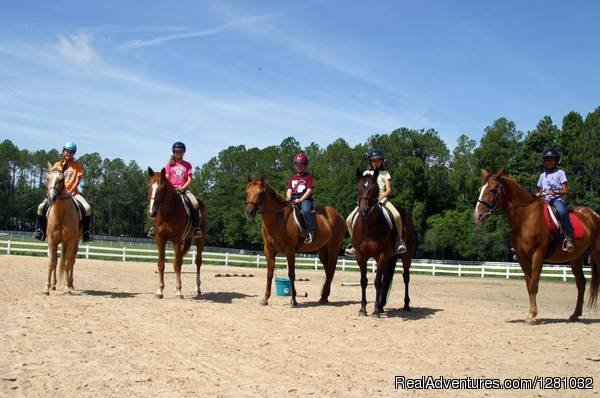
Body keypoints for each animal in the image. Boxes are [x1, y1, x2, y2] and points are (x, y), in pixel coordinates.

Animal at [42, 162, 82, 296]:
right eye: (47, 178)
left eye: (61, 180)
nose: (51, 198)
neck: (61, 214)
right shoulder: (52, 240)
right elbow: (52, 262)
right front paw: (47, 287)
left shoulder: (69, 241)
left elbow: (66, 263)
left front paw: (65, 288)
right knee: (57, 260)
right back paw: (54, 284)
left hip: (75, 242)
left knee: (71, 261)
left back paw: (70, 284)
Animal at [147, 167, 206, 298]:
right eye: (149, 187)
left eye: (162, 189)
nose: (152, 212)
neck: (167, 213)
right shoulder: (160, 239)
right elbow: (161, 264)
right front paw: (160, 290)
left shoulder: (177, 239)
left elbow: (177, 264)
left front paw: (179, 291)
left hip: (200, 239)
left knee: (198, 262)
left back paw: (198, 288)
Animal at [245, 178, 346, 308]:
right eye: (247, 192)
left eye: (261, 193)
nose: (249, 212)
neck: (279, 219)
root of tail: (338, 215)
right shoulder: (269, 251)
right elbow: (270, 273)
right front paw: (265, 299)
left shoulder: (290, 251)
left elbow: (291, 274)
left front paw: (293, 301)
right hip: (323, 250)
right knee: (328, 270)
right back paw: (324, 297)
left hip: (333, 248)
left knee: (331, 270)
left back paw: (324, 297)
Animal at [352, 168, 418, 318]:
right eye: (358, 188)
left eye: (375, 189)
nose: (363, 210)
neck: (368, 227)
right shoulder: (360, 256)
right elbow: (364, 281)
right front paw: (363, 309)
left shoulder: (380, 255)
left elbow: (377, 282)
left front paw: (375, 311)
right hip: (389, 258)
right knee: (387, 278)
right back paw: (382, 306)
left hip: (406, 256)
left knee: (406, 277)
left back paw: (405, 305)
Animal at [476, 167, 596, 324]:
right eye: (481, 189)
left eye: (493, 189)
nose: (478, 215)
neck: (526, 217)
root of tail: (592, 214)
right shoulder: (522, 258)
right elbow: (529, 285)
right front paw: (531, 314)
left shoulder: (538, 255)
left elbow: (534, 285)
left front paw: (532, 316)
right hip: (576, 258)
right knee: (581, 283)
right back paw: (575, 314)